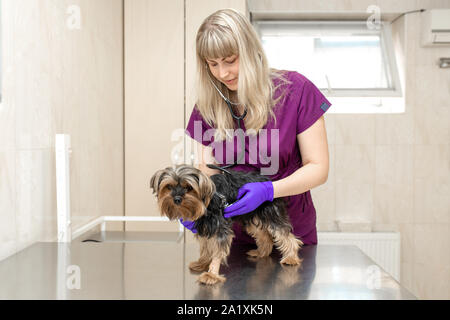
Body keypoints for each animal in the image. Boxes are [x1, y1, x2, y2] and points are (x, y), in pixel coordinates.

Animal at [150, 165, 302, 284]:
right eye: (169, 186)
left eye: (188, 187)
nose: (176, 199)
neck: (206, 203)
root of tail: (268, 181)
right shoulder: (205, 227)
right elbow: (206, 247)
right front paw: (202, 263)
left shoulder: (219, 228)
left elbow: (217, 250)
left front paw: (211, 274)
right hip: (251, 212)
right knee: (264, 235)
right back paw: (261, 252)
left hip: (269, 211)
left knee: (285, 234)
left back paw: (291, 257)